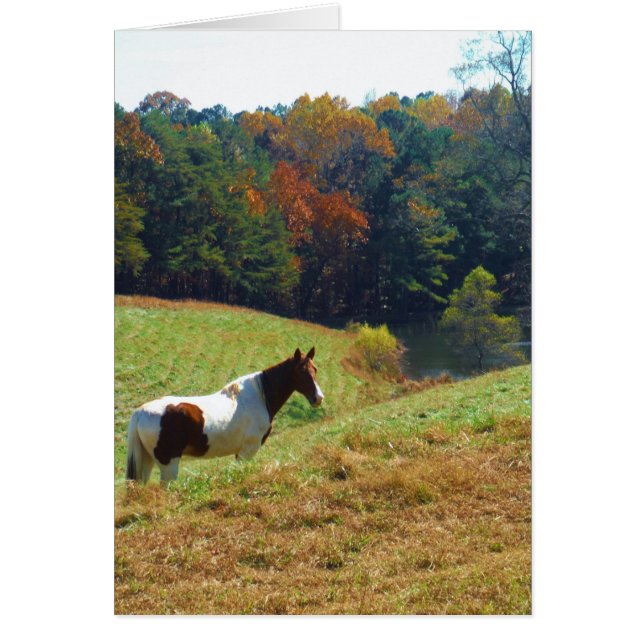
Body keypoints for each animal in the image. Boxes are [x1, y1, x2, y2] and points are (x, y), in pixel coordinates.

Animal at [125, 347, 324, 484]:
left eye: (315, 369)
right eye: (301, 372)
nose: (318, 398)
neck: (259, 396)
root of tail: (141, 412)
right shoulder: (247, 452)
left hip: (147, 460)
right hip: (169, 464)